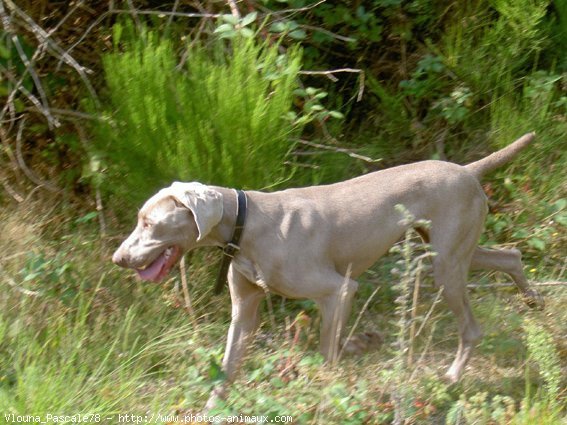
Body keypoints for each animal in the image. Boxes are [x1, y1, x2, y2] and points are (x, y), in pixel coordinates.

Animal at [113, 132, 544, 408]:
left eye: (149, 223)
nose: (118, 258)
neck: (246, 224)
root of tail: (467, 170)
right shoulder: (245, 312)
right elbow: (227, 368)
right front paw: (210, 411)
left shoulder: (339, 290)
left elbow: (327, 351)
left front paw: (341, 370)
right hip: (451, 250)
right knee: (510, 255)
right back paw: (534, 300)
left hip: (445, 262)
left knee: (471, 328)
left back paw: (452, 376)